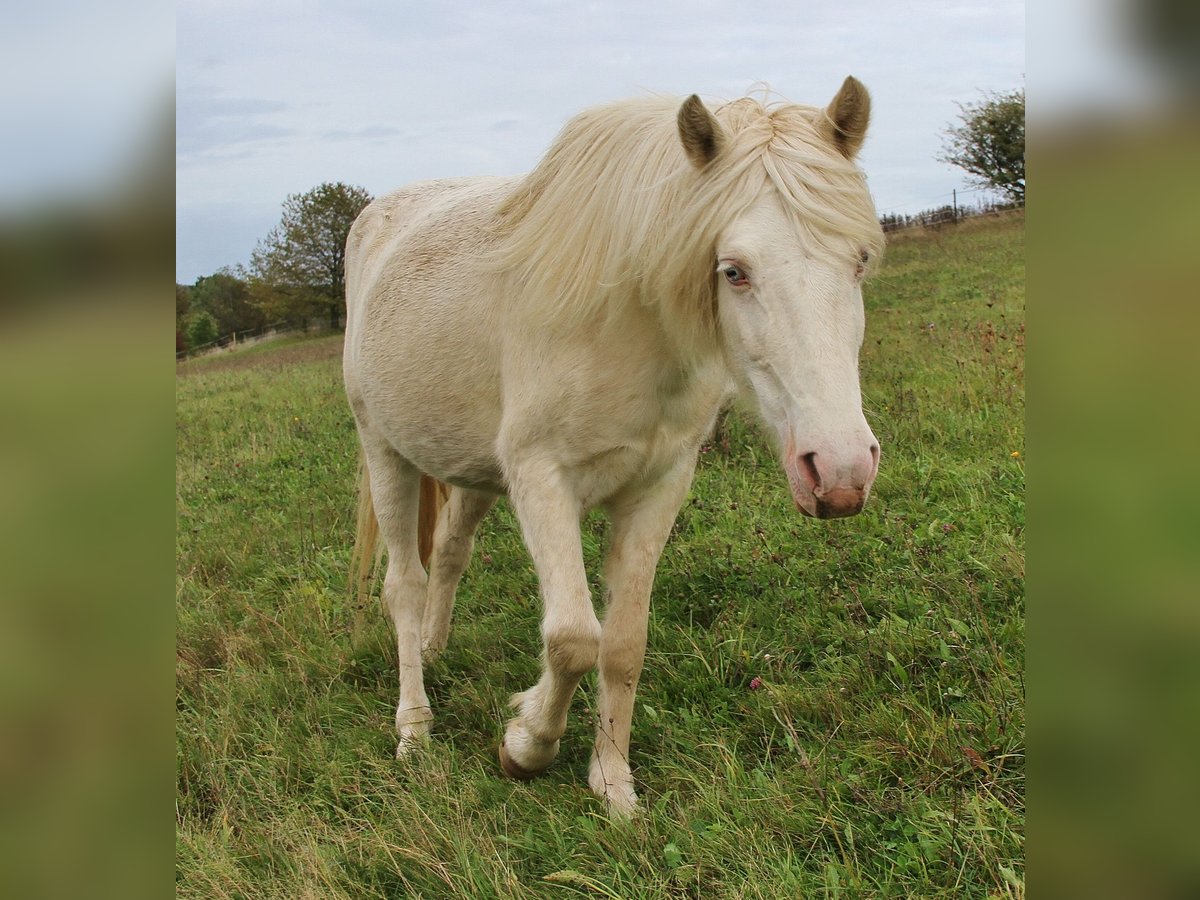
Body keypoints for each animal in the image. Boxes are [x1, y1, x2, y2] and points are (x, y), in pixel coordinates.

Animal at [343, 77, 884, 817]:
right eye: (733, 271)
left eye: (860, 260)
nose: (840, 470)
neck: (624, 324)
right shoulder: (542, 480)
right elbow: (573, 638)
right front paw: (525, 745)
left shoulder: (659, 484)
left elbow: (623, 644)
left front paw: (613, 783)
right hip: (384, 450)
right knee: (404, 584)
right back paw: (415, 726)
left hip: (471, 469)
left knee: (450, 551)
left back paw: (434, 647)